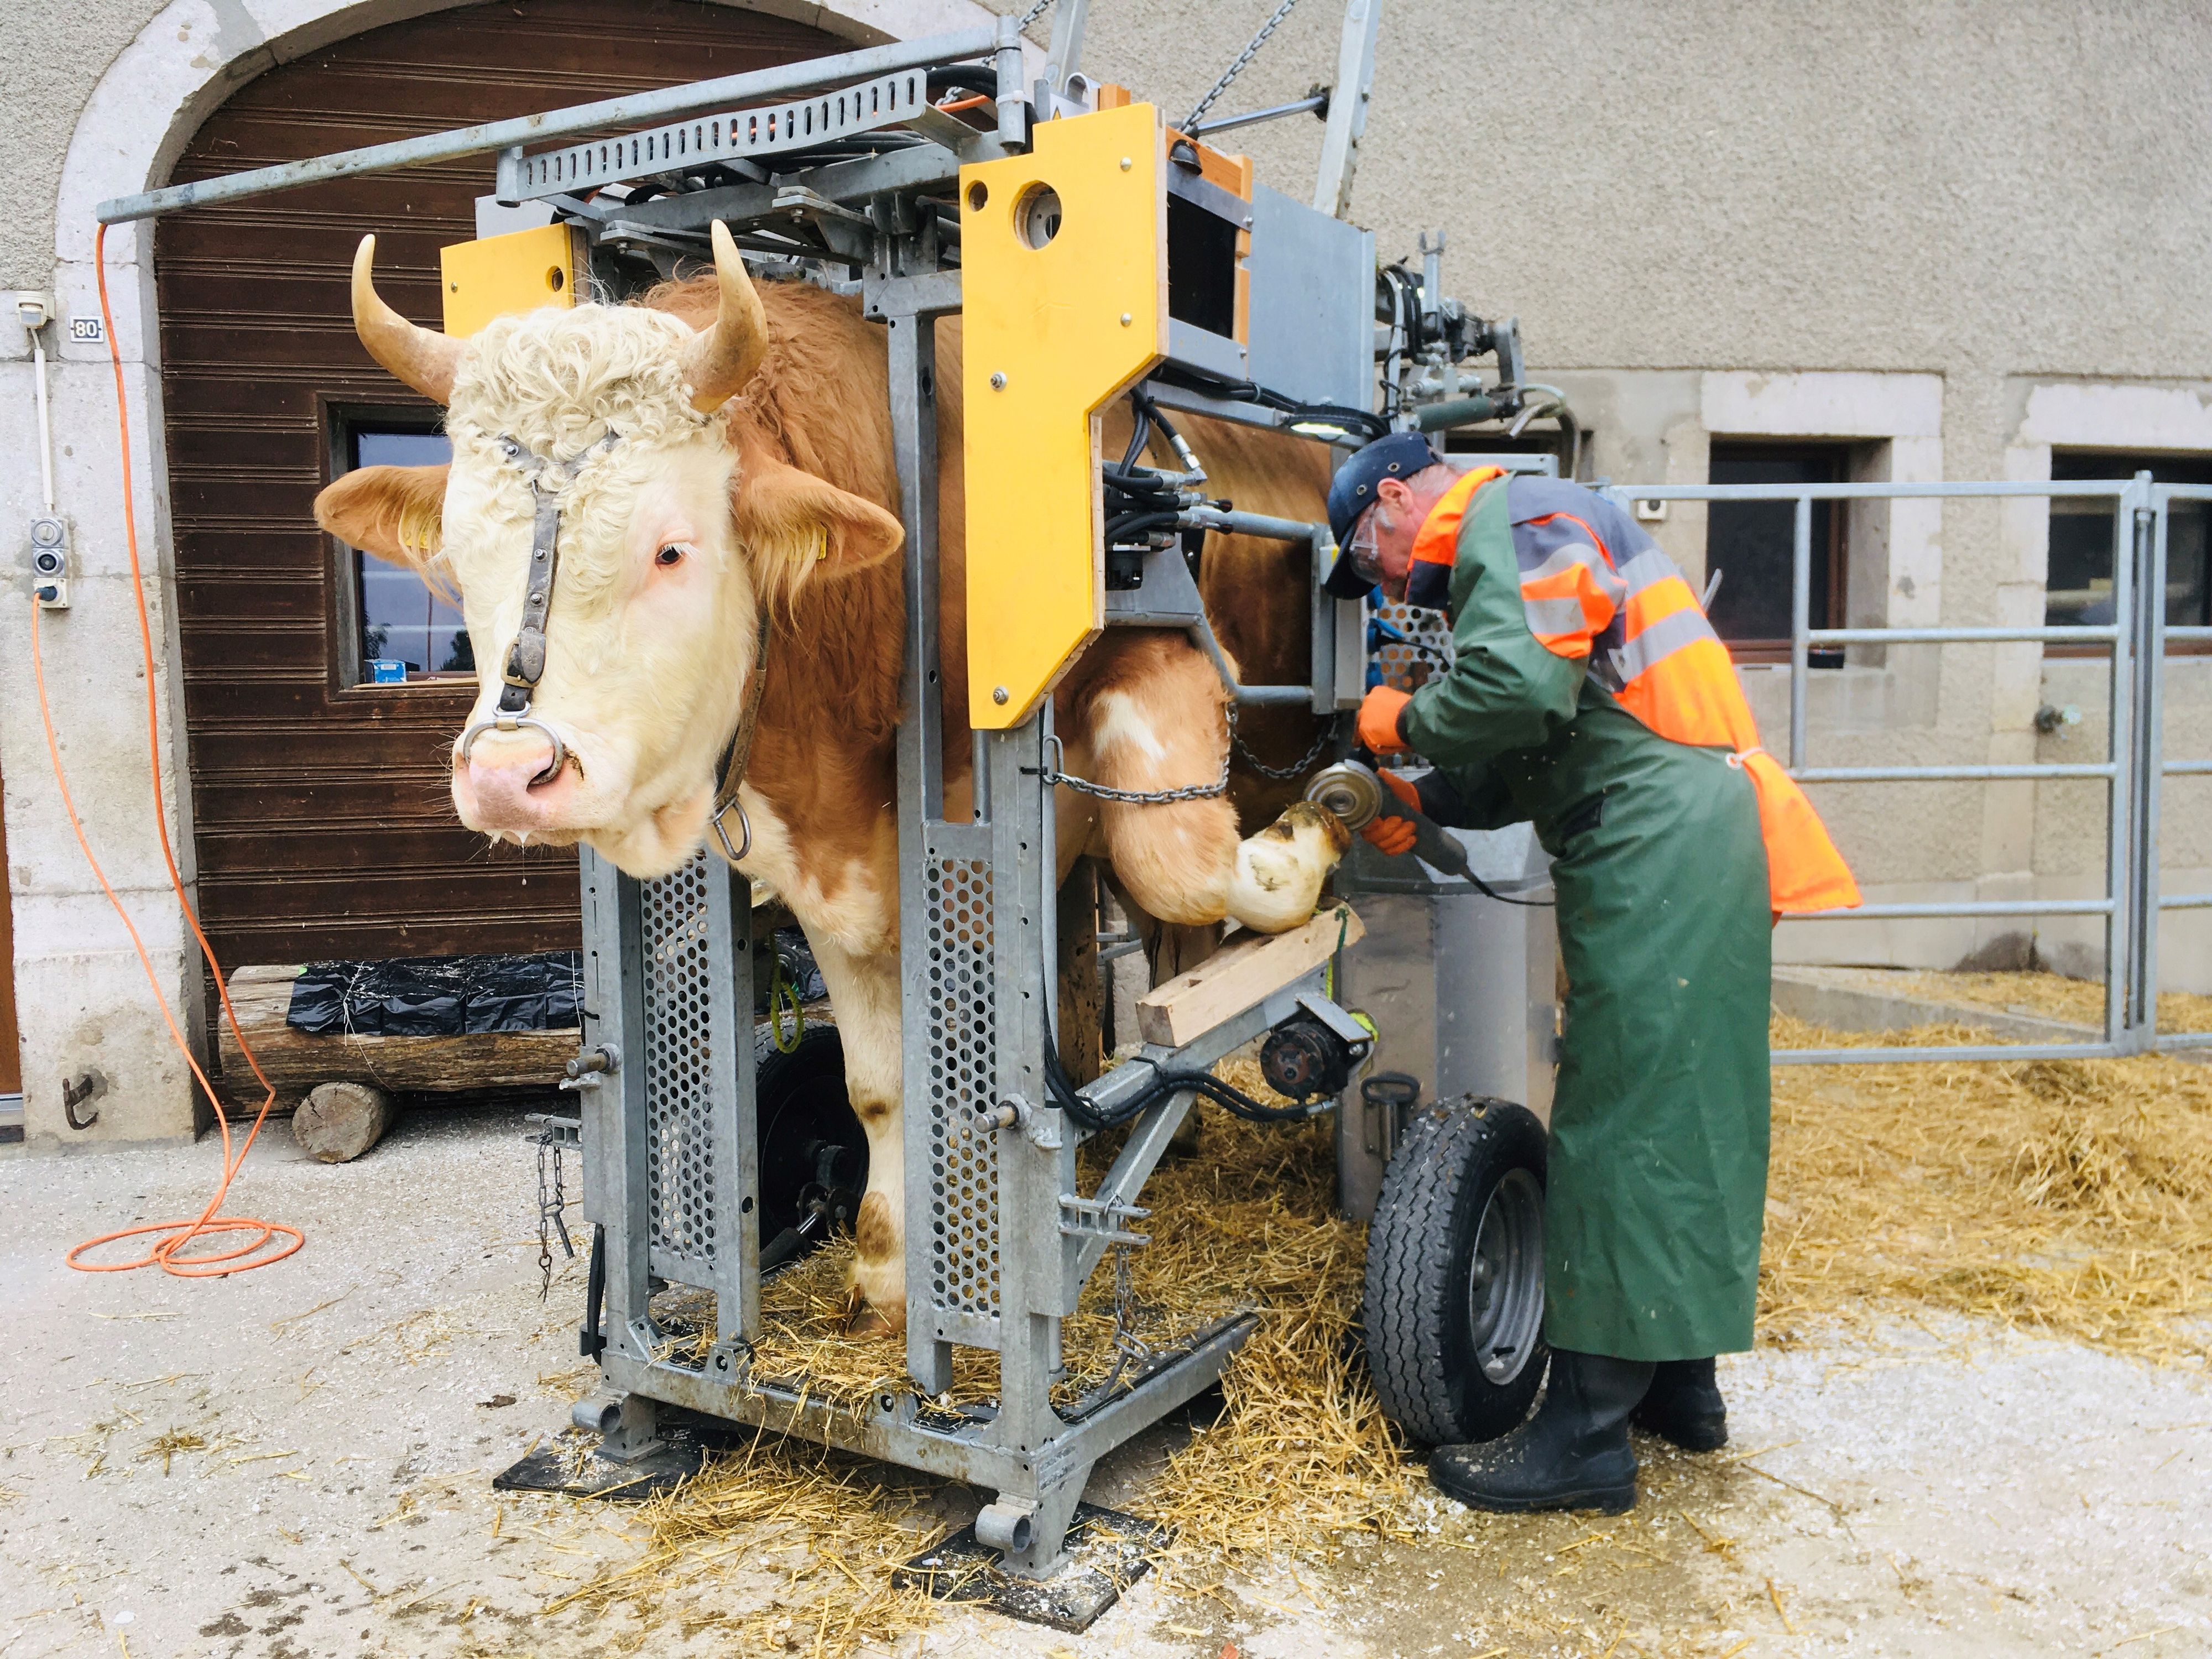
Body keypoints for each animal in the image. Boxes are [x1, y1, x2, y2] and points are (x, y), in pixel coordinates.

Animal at [315, 222, 1348, 1330]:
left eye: (671, 549)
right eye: (461, 559)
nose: (511, 775)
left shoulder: (1159, 659)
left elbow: (1184, 866)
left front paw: (1316, 839)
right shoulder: (837, 881)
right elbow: (881, 1085)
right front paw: (891, 1272)